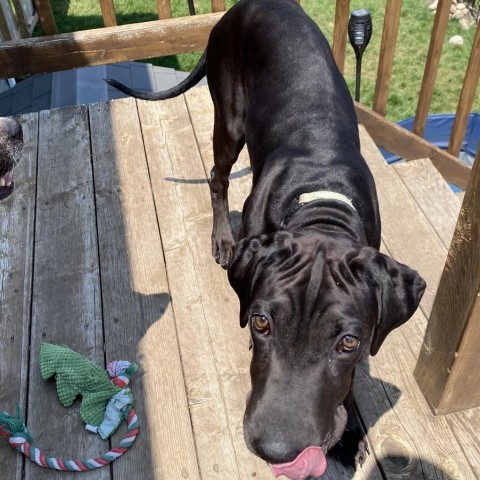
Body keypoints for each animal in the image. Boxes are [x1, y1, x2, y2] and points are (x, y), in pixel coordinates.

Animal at [107, 1, 426, 478]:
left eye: (349, 342)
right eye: (260, 322)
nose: (276, 450)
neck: (321, 197)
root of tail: (241, 8)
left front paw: (351, 431)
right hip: (229, 119)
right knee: (217, 177)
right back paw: (222, 238)